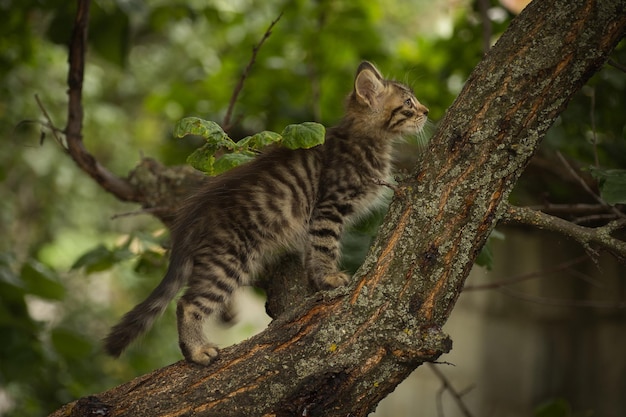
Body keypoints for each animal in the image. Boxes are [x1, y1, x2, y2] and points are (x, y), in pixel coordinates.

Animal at [105, 61, 426, 364]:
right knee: (188, 303)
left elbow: (312, 251)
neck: (365, 138)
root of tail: (194, 214)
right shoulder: (329, 206)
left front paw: (315, 280)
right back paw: (197, 351)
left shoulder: (315, 218)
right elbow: (325, 245)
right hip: (229, 257)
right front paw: (329, 277)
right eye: (408, 102)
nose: (426, 111)